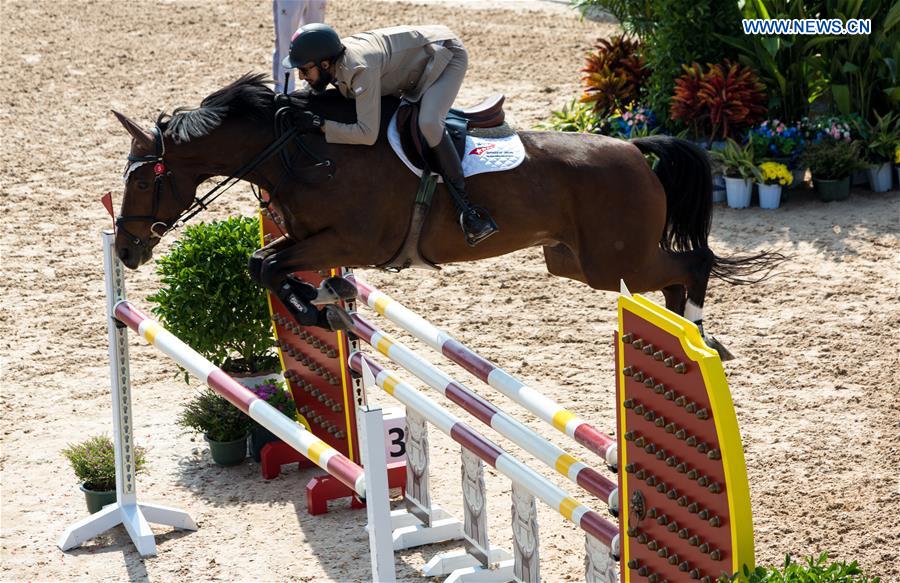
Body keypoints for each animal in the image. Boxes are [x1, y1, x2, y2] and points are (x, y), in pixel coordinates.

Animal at [112, 73, 776, 356]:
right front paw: (326, 302)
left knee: (692, 265)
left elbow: (267, 266)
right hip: (575, 262)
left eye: (143, 178)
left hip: (616, 260)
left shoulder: (348, 239)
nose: (126, 250)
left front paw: (317, 306)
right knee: (674, 276)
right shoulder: (311, 239)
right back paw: (686, 333)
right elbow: (266, 264)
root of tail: (636, 149)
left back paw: (702, 337)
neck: (307, 154)